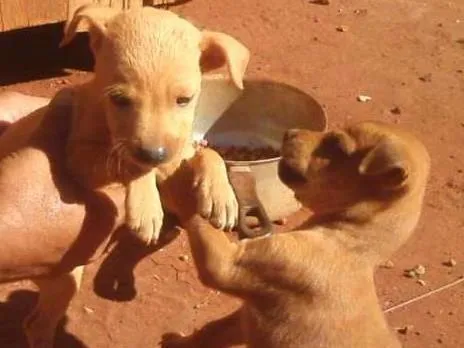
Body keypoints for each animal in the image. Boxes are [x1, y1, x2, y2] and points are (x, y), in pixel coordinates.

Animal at [163, 121, 432, 348]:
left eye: (337, 144)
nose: (289, 133)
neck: (350, 239)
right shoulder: (245, 317)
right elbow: (210, 331)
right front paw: (179, 344)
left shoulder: (227, 263)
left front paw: (179, 177)